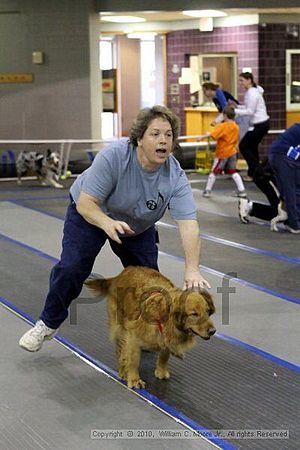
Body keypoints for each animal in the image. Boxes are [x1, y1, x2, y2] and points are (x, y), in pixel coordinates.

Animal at [85, 266, 216, 388]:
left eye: (207, 311)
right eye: (194, 314)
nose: (213, 331)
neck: (163, 319)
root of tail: (122, 273)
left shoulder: (165, 337)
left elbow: (164, 355)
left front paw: (161, 371)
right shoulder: (132, 337)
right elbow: (133, 360)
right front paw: (134, 379)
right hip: (118, 325)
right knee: (120, 348)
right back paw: (122, 369)